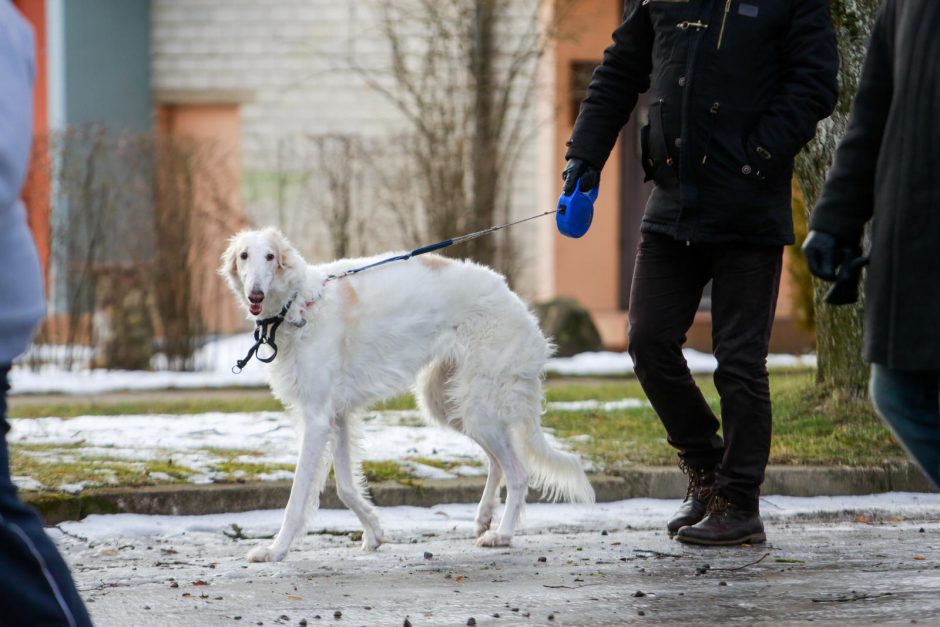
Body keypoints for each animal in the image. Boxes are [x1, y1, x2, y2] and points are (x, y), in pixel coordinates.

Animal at [220, 228, 596, 560]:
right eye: (243, 256)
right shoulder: (338, 417)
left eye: (270, 256)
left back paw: (502, 534)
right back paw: (484, 516)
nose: (255, 295)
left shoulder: (317, 418)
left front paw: (275, 550)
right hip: (448, 403)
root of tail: (519, 306)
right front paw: (374, 531)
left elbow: (298, 497)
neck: (300, 304)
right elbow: (345, 487)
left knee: (518, 472)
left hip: (477, 403)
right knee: (497, 462)